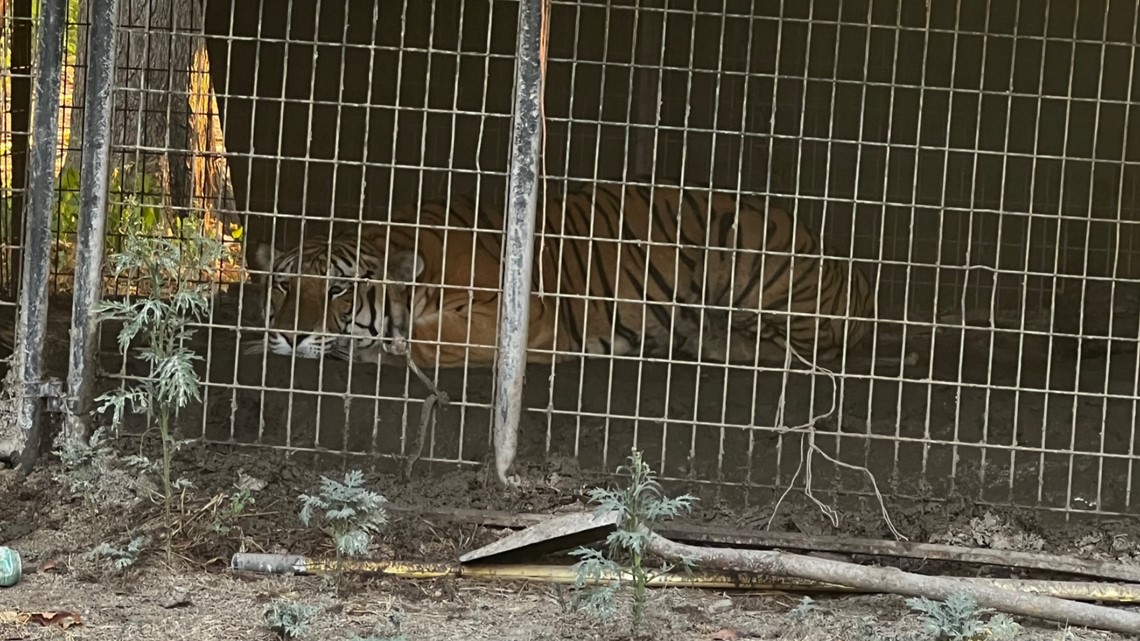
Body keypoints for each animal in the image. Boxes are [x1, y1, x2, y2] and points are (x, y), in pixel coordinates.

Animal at [247, 181, 873, 369]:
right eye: (283, 284)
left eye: (338, 289)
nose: (290, 336)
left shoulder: (517, 317)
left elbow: (429, 339)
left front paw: (377, 347)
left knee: (790, 352)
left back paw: (702, 341)